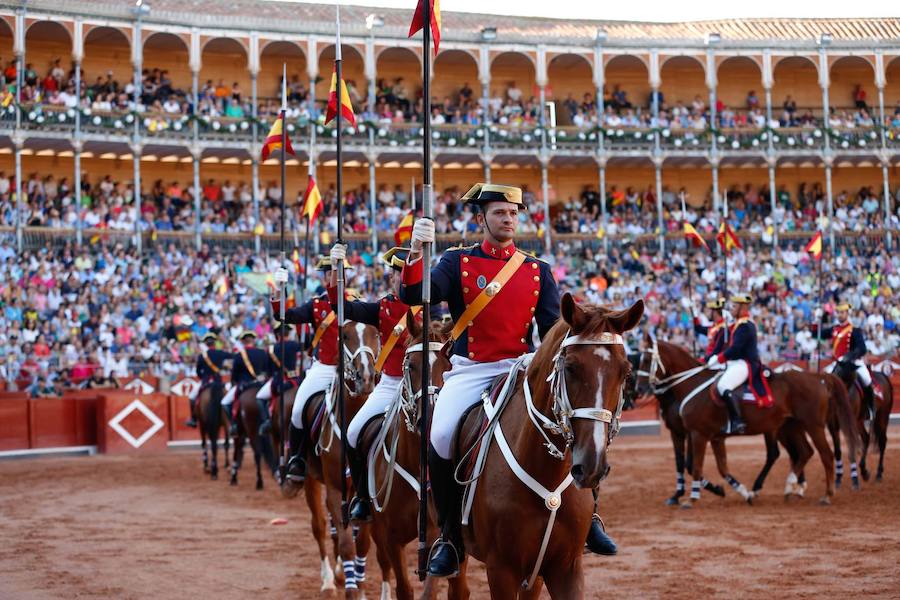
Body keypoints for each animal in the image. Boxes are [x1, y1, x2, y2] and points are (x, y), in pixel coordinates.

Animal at [458, 294, 640, 596]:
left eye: (625, 372)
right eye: (570, 368)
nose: (591, 467)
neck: (546, 471)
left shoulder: (565, 568)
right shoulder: (501, 570)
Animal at [640, 340, 856, 504]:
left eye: (646, 360)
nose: (639, 388)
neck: (691, 384)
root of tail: (819, 377)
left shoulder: (697, 435)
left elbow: (696, 466)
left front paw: (692, 498)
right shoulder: (713, 437)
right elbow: (720, 468)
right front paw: (741, 492)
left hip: (813, 426)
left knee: (825, 455)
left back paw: (826, 494)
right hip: (790, 427)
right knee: (803, 452)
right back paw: (788, 487)